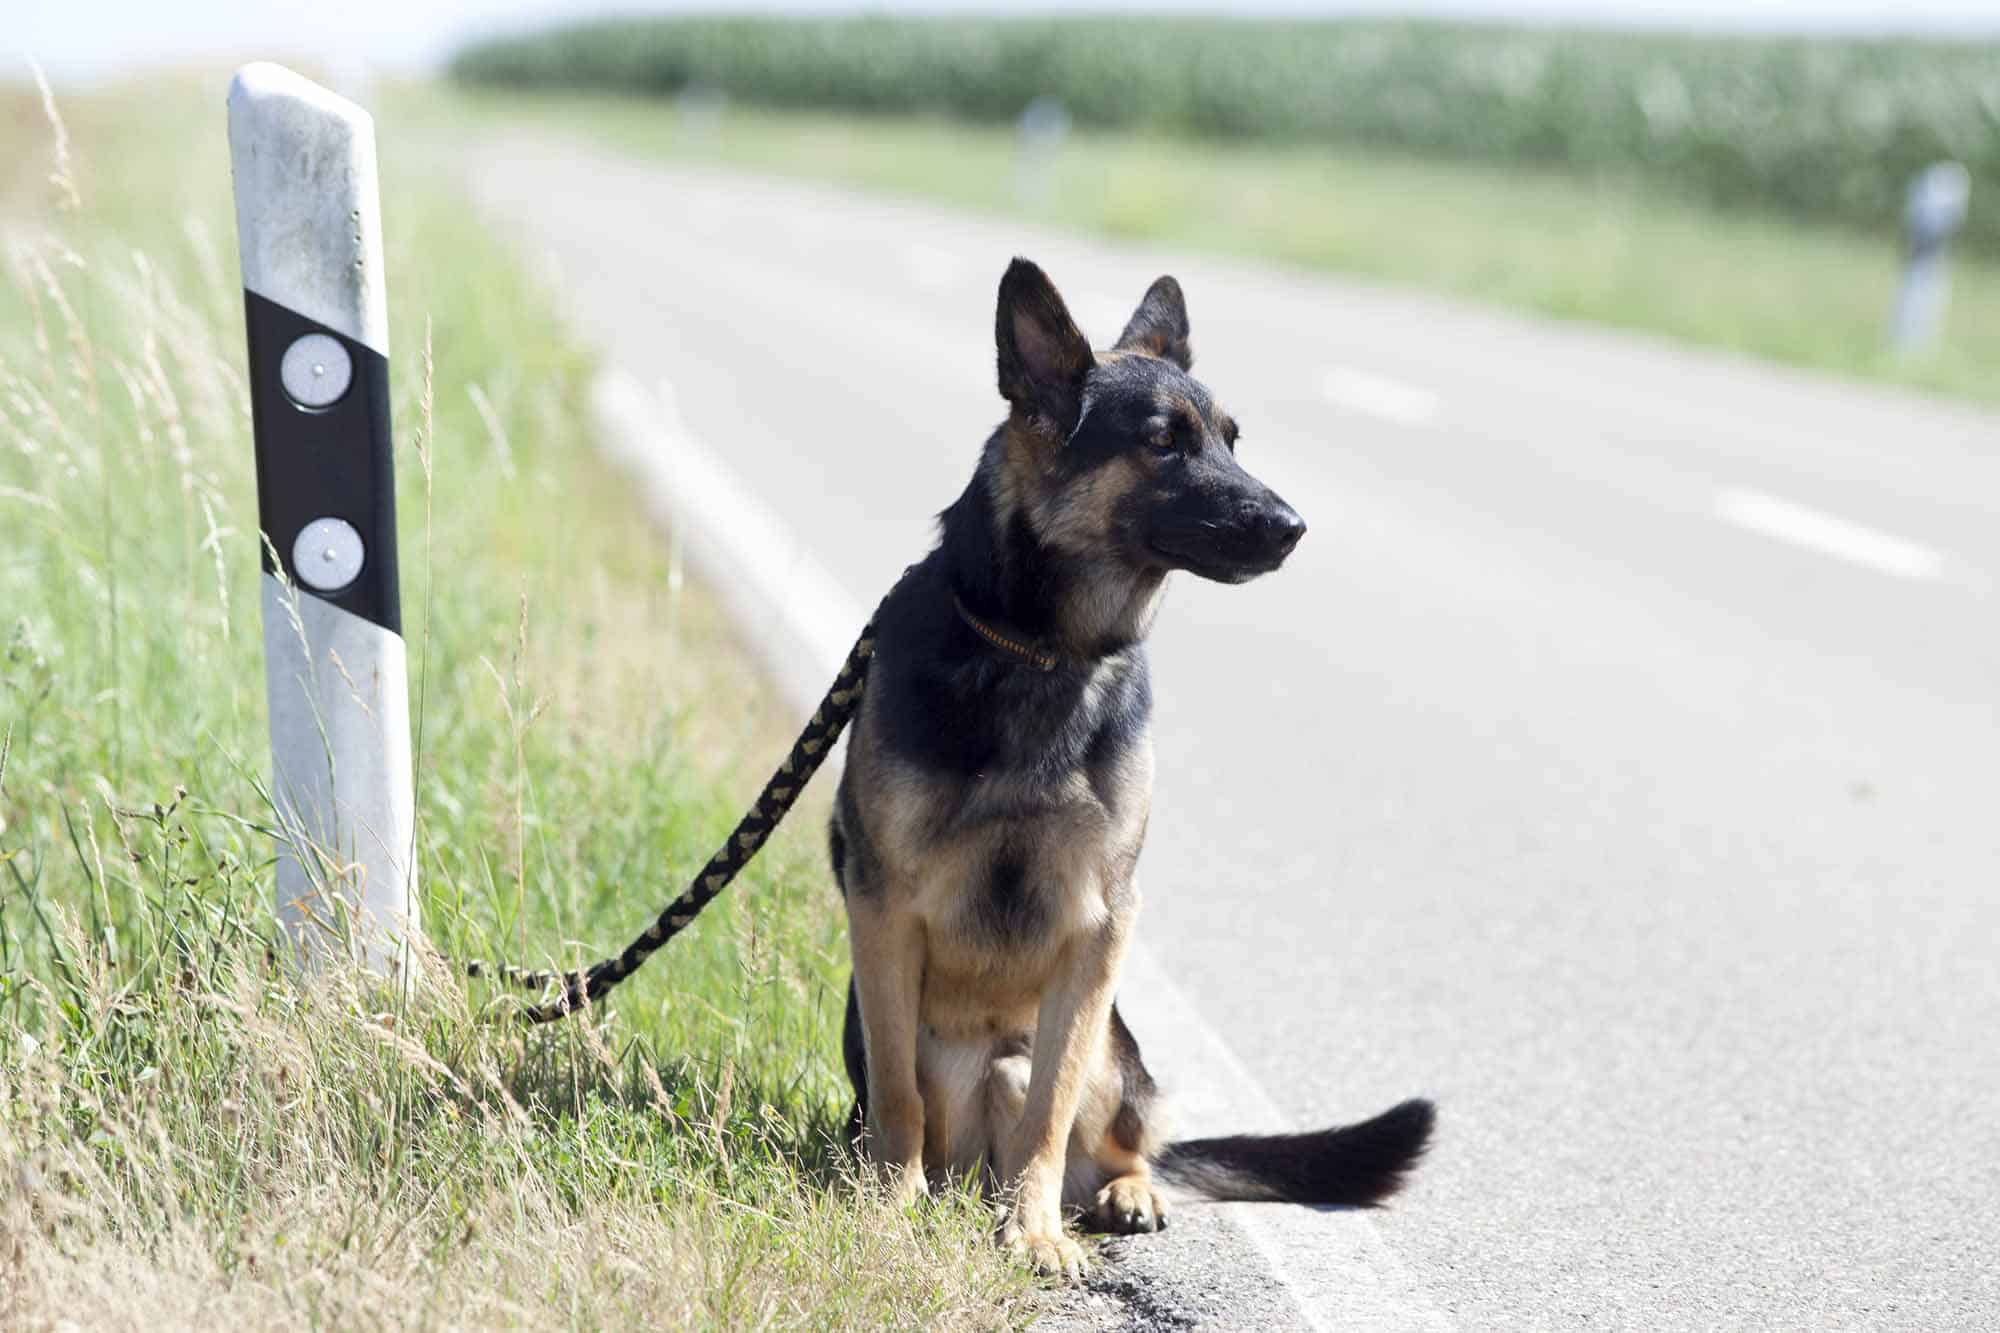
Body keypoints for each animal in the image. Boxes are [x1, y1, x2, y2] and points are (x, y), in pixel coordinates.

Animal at [828, 262, 1440, 1280]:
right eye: (1162, 443)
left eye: (1232, 439)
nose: (1293, 527)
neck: (1042, 651)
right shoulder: (882, 908)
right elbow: (899, 1096)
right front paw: (885, 1205)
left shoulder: (1101, 925)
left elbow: (1047, 1109)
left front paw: (1033, 1230)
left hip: (1116, 1049)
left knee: (1118, 1136)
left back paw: (1123, 1191)